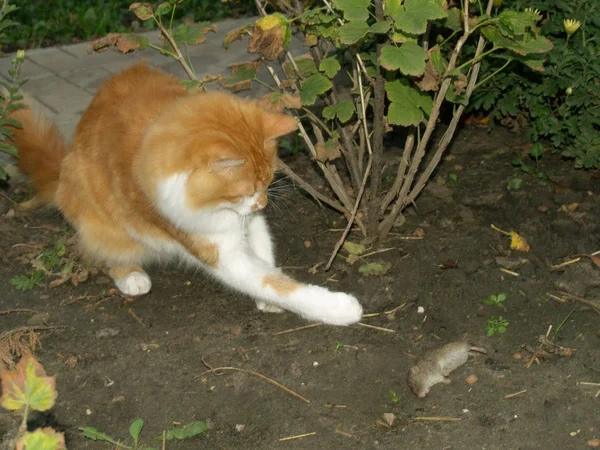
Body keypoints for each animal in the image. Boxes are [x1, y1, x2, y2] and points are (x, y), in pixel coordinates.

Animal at [11, 61, 364, 326]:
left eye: (267, 183)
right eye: (247, 190)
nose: (263, 202)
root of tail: (62, 167)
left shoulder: (249, 222)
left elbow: (265, 258)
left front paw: (265, 299)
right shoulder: (220, 251)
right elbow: (273, 283)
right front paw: (338, 308)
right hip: (100, 217)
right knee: (107, 251)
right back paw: (131, 275)